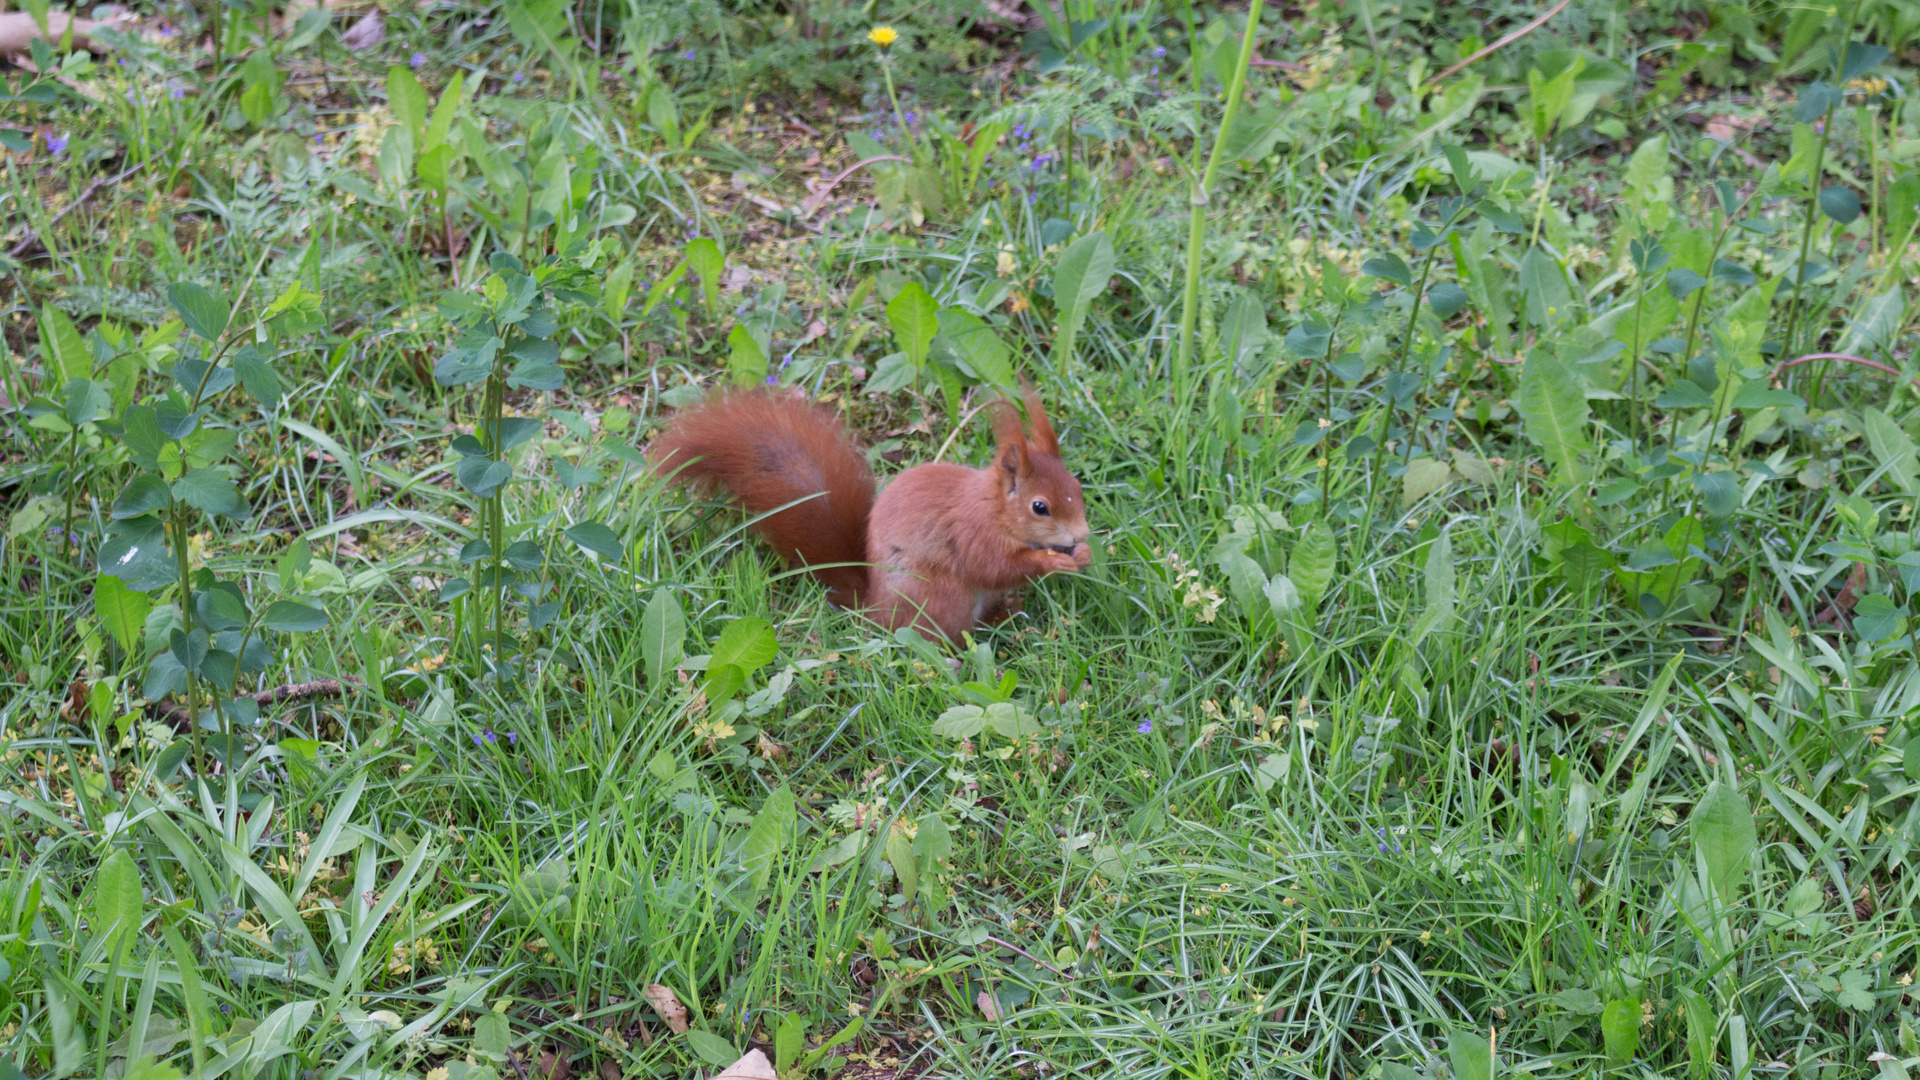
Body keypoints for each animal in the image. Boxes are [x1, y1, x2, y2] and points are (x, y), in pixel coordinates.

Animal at [648, 384, 1090, 638]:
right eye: (1040, 507)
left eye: (1077, 487)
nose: (1082, 534)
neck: (994, 509)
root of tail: (873, 607)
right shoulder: (972, 534)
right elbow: (995, 567)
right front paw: (1051, 561)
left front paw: (1082, 554)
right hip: (937, 596)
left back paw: (1008, 616)